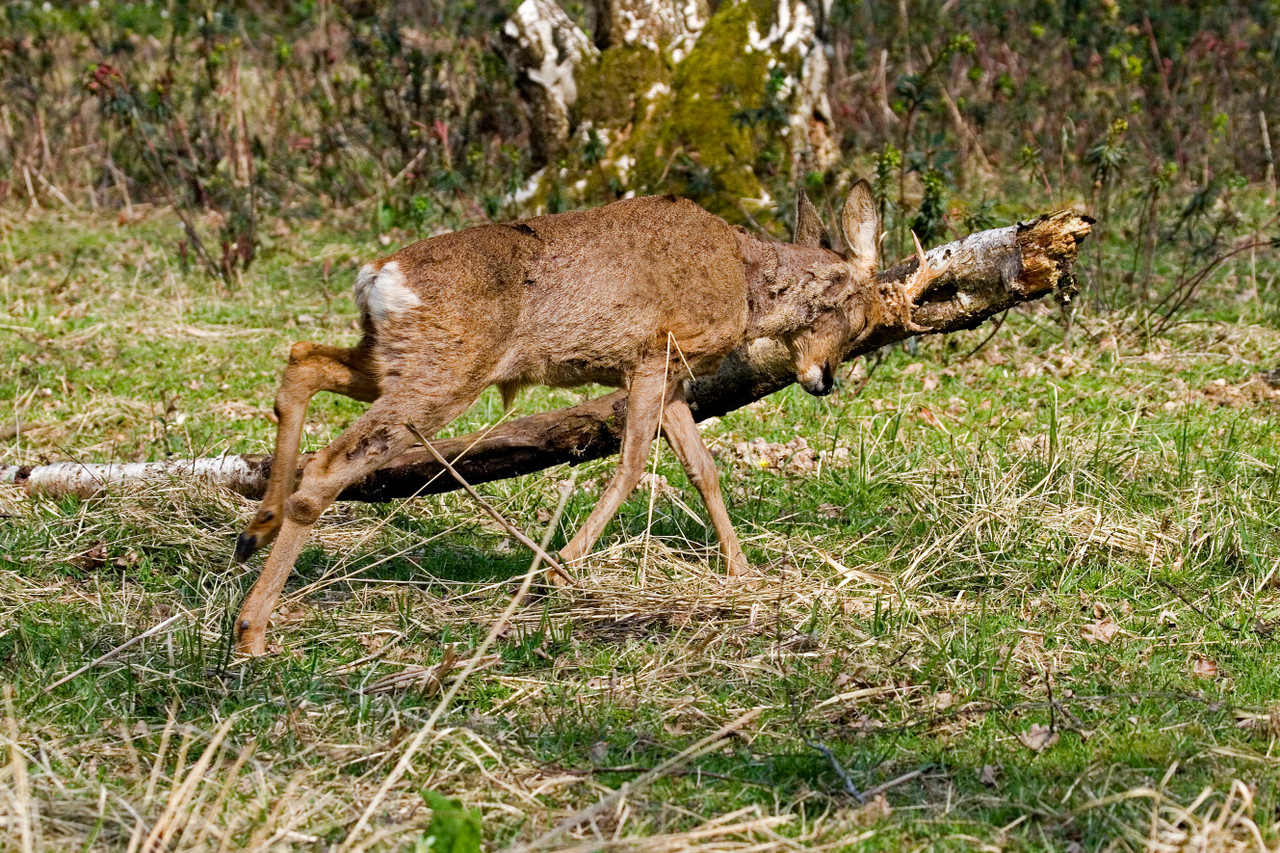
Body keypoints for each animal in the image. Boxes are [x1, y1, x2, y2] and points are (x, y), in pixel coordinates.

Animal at [231, 181, 894, 655]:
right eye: (862, 315)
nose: (824, 380)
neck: (748, 283)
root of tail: (378, 277)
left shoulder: (672, 380)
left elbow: (702, 468)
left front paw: (741, 571)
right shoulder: (653, 355)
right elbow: (633, 461)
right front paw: (564, 566)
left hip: (393, 358)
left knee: (302, 362)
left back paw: (255, 529)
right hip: (444, 371)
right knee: (326, 467)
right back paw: (251, 632)